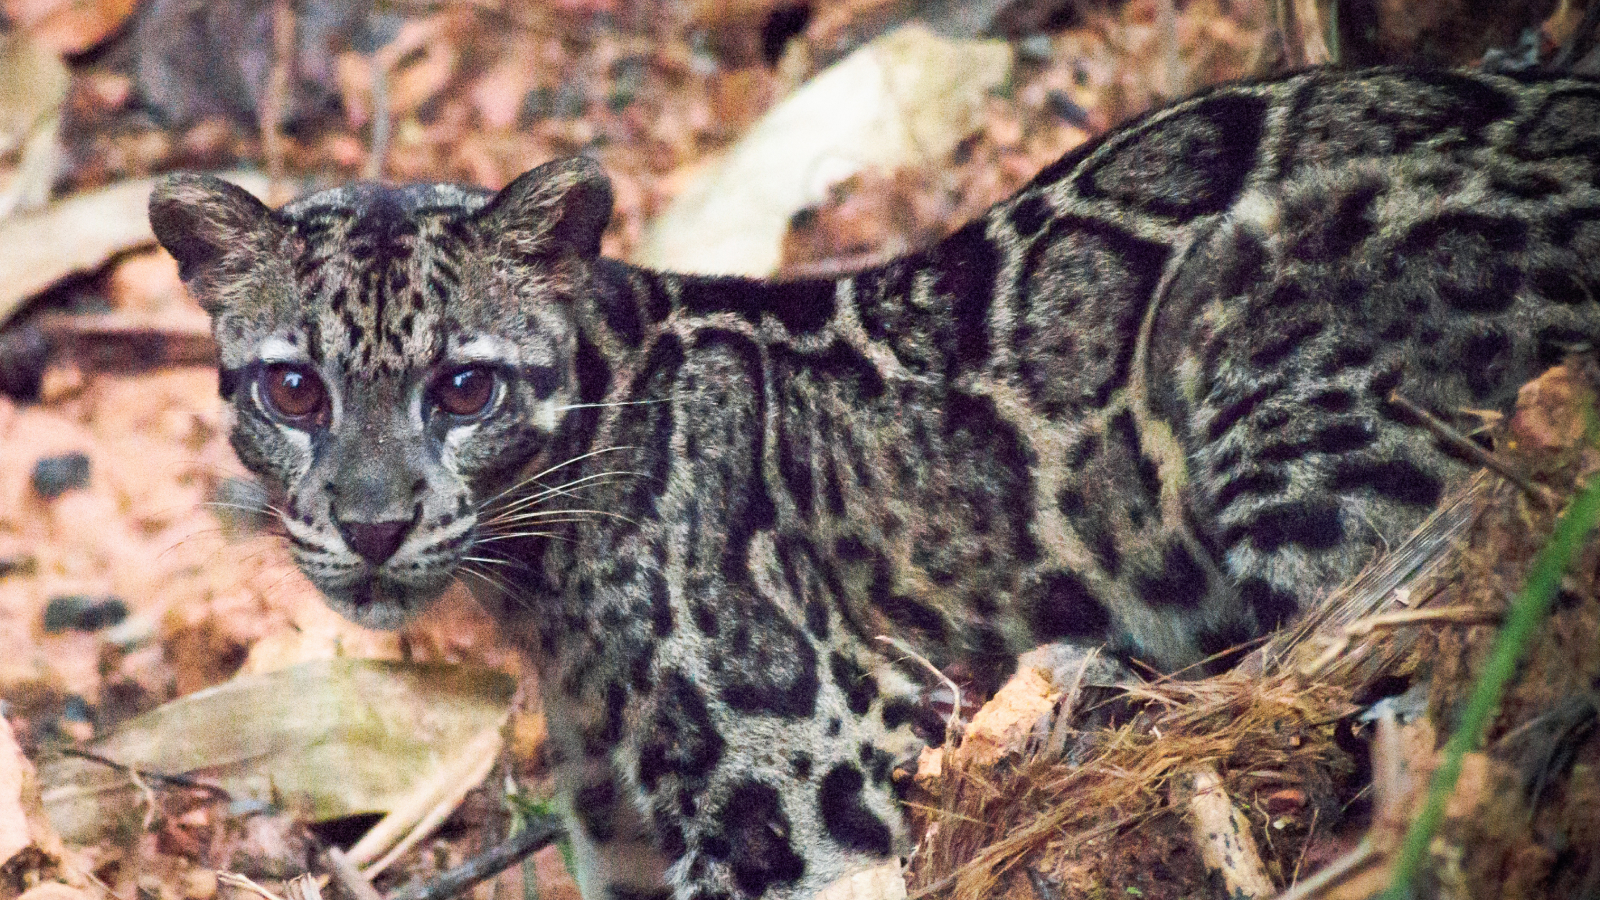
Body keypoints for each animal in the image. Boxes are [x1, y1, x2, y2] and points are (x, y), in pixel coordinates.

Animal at [150, 66, 1600, 890]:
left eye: (463, 389)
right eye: (293, 389)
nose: (371, 526)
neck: (542, 599)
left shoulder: (819, 792)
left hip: (1286, 398)